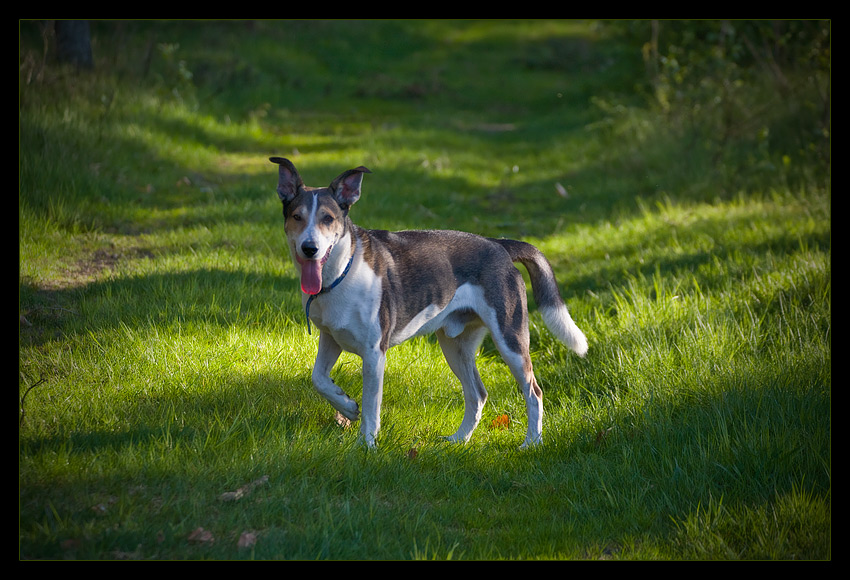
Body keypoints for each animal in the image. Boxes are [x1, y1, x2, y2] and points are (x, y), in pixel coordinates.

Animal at [268, 159, 588, 448]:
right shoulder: (330, 337)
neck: (342, 270)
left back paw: (532, 442)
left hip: (510, 340)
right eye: (296, 216)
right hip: (455, 345)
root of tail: (499, 244)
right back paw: (459, 440)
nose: (310, 248)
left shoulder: (374, 353)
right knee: (477, 394)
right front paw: (346, 405)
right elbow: (319, 379)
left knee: (534, 392)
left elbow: (371, 408)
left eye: (328, 218)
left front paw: (366, 445)